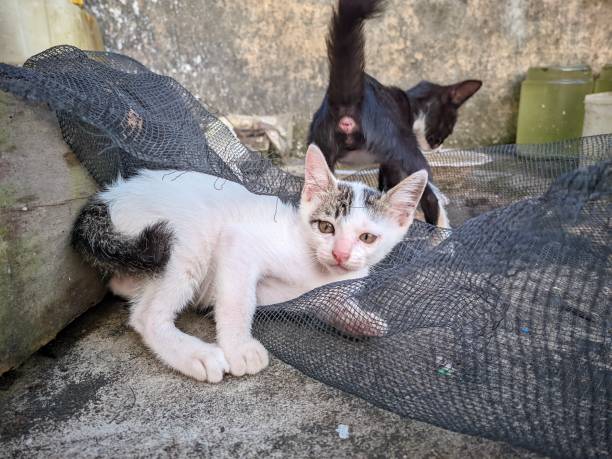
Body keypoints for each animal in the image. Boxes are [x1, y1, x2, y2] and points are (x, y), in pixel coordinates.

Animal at [71, 146, 428, 382]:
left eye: (367, 237)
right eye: (326, 227)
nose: (340, 254)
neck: (318, 272)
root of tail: (111, 195)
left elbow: (332, 302)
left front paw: (359, 320)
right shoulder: (238, 241)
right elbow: (237, 300)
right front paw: (240, 348)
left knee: (121, 284)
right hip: (185, 238)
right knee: (146, 317)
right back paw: (196, 355)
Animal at [308, 0, 480, 227]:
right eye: (448, 129)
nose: (438, 145)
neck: (410, 105)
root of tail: (347, 105)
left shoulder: (388, 163)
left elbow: (387, 185)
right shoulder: (396, 160)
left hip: (321, 148)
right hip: (403, 145)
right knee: (429, 193)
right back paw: (440, 226)